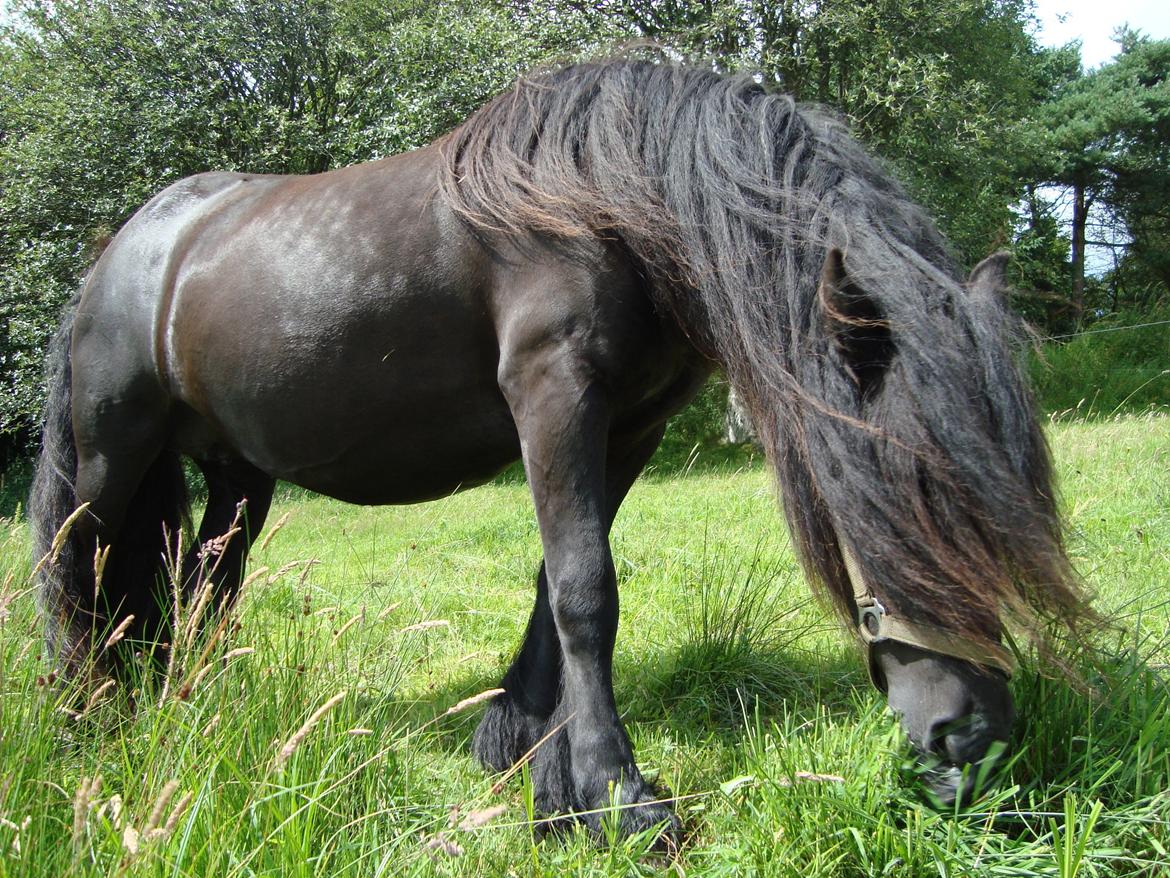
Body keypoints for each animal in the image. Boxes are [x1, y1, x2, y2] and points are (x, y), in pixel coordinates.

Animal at [30, 58, 1086, 837]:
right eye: (912, 503)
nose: (975, 744)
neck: (610, 199)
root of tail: (128, 249)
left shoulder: (626, 427)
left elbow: (558, 584)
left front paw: (539, 767)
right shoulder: (554, 395)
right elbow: (587, 591)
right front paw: (622, 798)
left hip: (239, 476)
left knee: (205, 587)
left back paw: (197, 714)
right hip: (112, 456)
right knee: (73, 565)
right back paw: (81, 721)